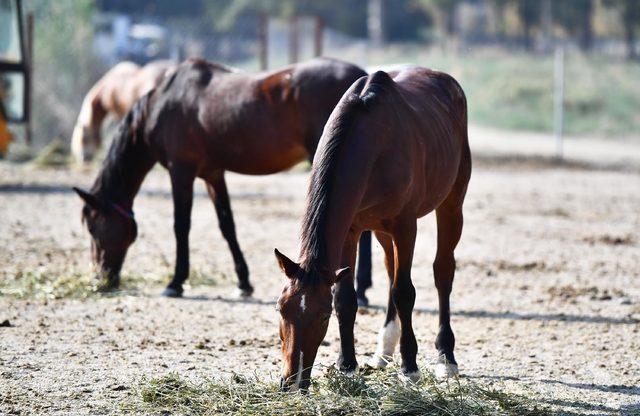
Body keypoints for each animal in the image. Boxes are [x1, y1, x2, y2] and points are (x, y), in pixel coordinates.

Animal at [72, 57, 372, 300]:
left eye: (93, 227)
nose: (101, 278)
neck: (162, 105)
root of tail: (362, 78)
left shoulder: (180, 171)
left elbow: (181, 225)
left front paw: (175, 282)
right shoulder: (212, 174)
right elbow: (227, 226)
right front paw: (243, 283)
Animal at [274, 67, 470, 390]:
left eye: (323, 317)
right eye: (281, 309)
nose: (293, 380)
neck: (372, 140)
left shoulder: (406, 226)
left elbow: (405, 292)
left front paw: (410, 367)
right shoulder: (351, 230)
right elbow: (346, 296)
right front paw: (347, 365)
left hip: (452, 204)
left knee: (442, 273)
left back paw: (445, 357)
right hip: (380, 230)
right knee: (391, 270)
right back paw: (384, 350)